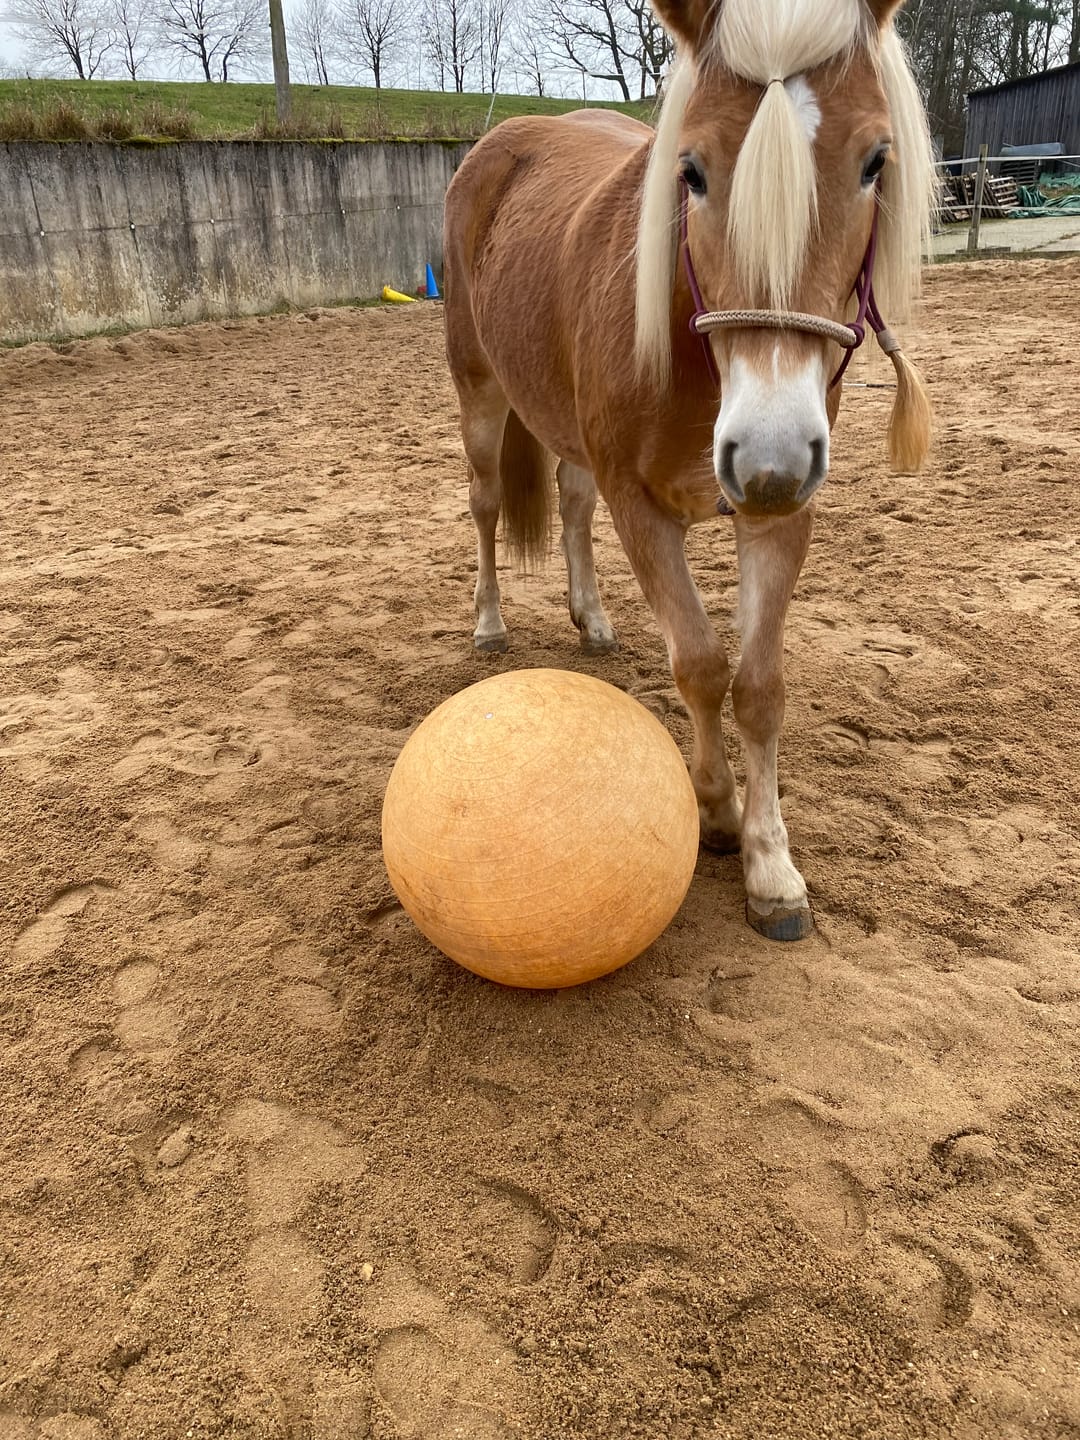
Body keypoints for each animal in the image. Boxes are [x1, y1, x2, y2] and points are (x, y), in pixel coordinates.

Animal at [442, 0, 935, 942]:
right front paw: (716, 815)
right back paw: (489, 623)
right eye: (693, 171)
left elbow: (760, 683)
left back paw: (593, 620)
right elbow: (702, 666)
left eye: (874, 162)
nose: (769, 452)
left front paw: (772, 867)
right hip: (480, 391)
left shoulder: (782, 511)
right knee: (486, 505)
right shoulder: (643, 509)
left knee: (569, 502)